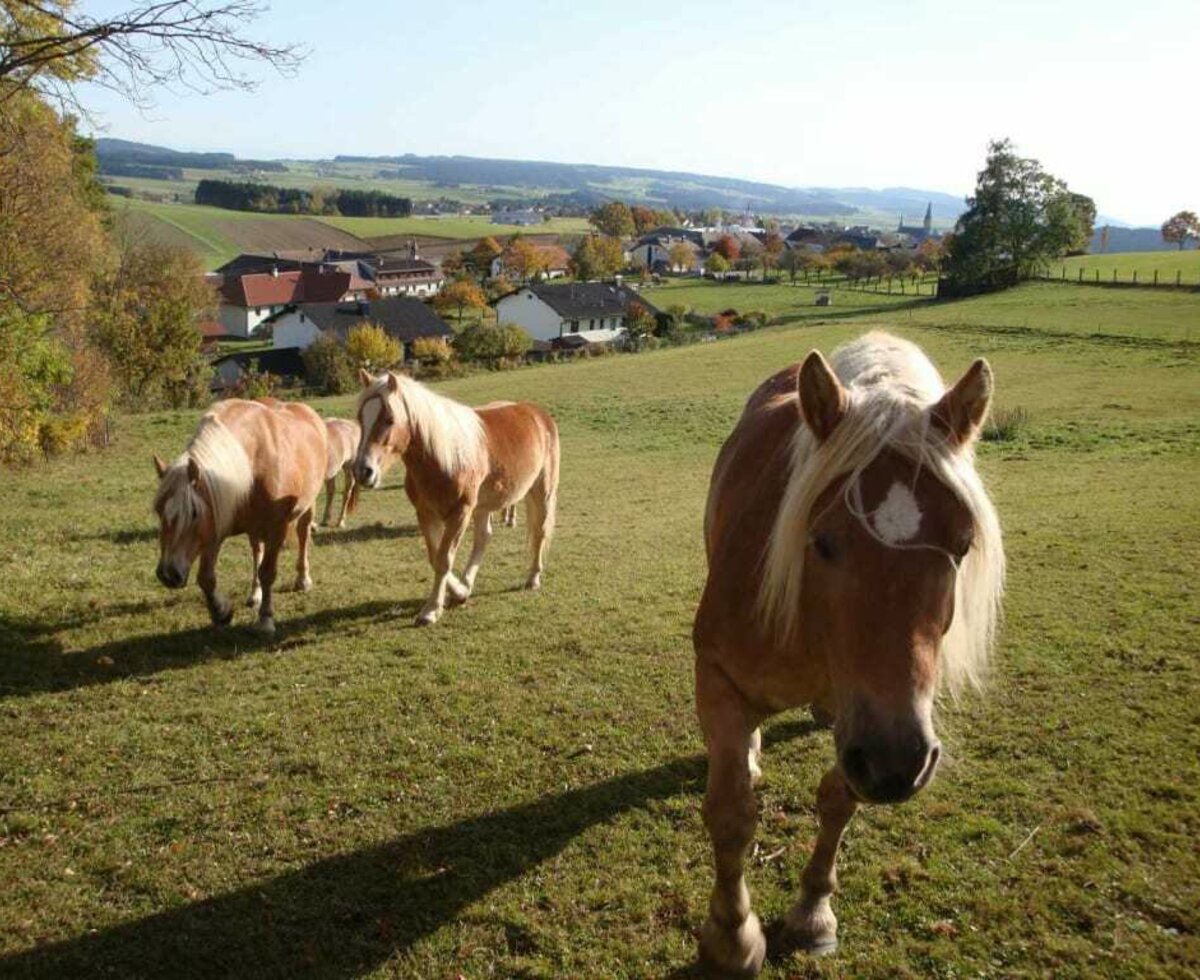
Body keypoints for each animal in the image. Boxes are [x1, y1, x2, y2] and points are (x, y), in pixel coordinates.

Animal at [150, 398, 328, 633]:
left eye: (194, 513)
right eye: (158, 510)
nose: (168, 574)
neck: (252, 461)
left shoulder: (276, 528)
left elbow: (268, 572)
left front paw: (266, 619)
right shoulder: (214, 528)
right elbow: (206, 578)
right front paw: (221, 612)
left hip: (307, 509)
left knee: (303, 536)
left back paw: (302, 579)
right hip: (255, 529)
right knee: (256, 551)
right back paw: (255, 594)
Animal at [352, 367, 559, 628]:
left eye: (389, 419)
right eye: (361, 419)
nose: (363, 472)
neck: (445, 458)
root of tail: (537, 414)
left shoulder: (460, 512)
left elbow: (444, 559)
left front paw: (431, 610)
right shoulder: (426, 513)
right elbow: (435, 557)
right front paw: (459, 592)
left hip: (542, 492)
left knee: (540, 531)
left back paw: (533, 578)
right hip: (483, 506)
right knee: (483, 538)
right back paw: (467, 584)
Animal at [696, 331, 1003, 969]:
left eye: (962, 546)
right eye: (822, 541)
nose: (895, 760)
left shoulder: (864, 721)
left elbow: (838, 800)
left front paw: (813, 914)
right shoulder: (715, 674)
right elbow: (732, 814)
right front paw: (731, 938)